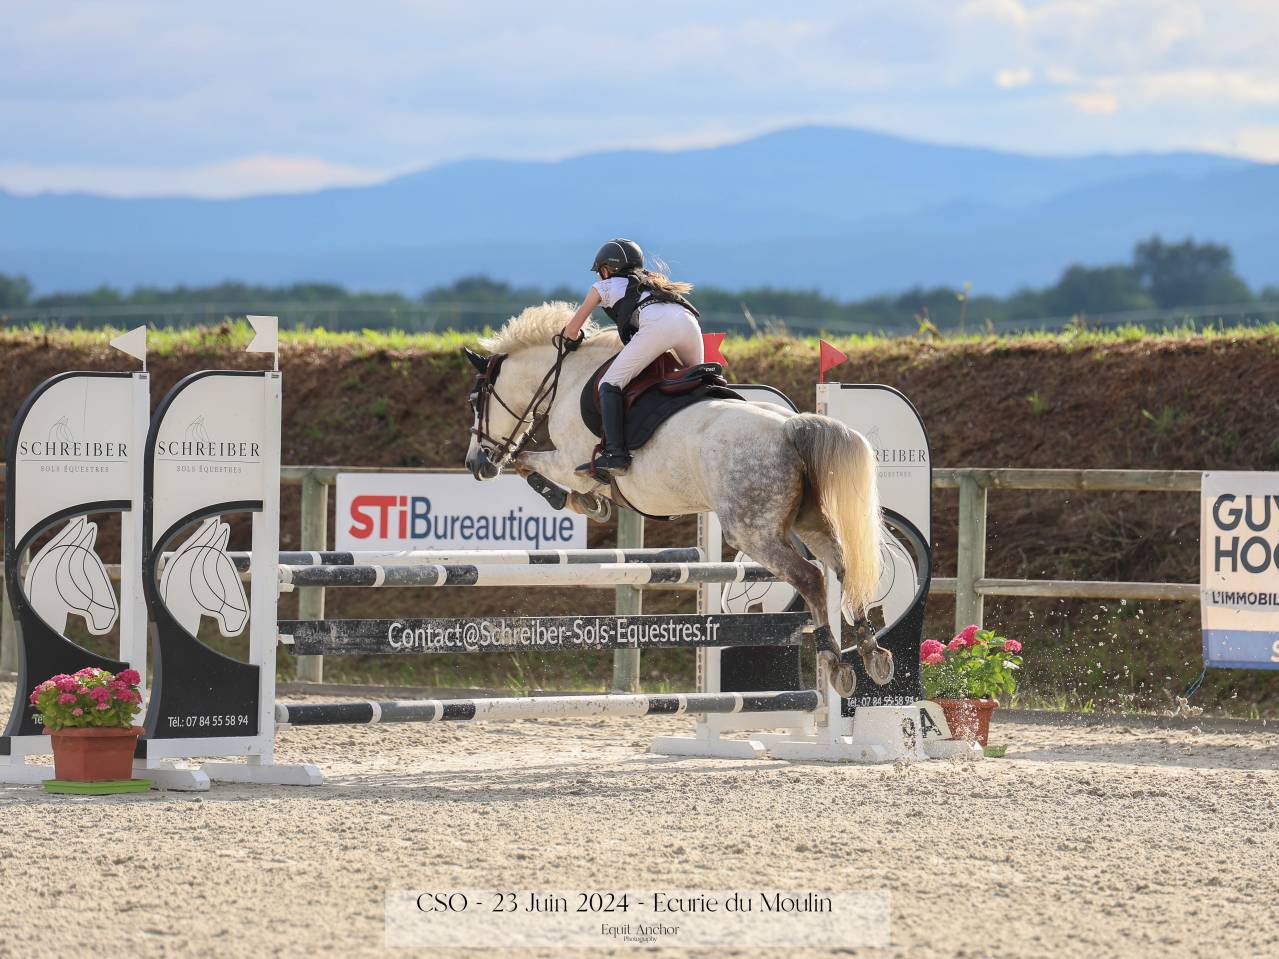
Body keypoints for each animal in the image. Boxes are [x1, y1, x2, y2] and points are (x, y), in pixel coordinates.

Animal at [462, 303, 893, 696]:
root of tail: (791, 426)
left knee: (811, 577)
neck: (565, 379)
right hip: (809, 520)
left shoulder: (568, 462)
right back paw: (872, 653)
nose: (476, 464)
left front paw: (576, 500)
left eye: (474, 400)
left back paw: (834, 661)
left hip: (753, 532)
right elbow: (543, 471)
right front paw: (593, 503)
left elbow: (525, 463)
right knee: (844, 567)